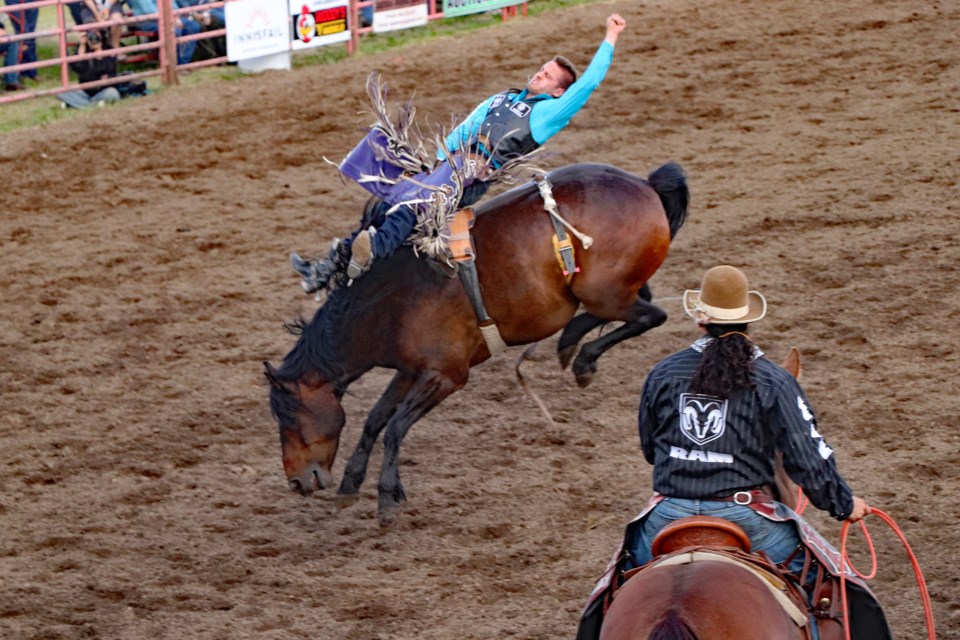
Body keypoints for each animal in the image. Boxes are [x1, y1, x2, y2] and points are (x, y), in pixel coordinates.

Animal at [266, 162, 688, 524]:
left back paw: (580, 356)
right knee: (636, 305)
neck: (388, 302)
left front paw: (387, 498)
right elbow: (375, 420)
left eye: (289, 418)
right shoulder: (409, 371)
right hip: (607, 291)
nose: (296, 482)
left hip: (606, 293)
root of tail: (647, 185)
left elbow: (395, 427)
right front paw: (350, 484)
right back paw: (570, 344)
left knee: (651, 315)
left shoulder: (446, 376)